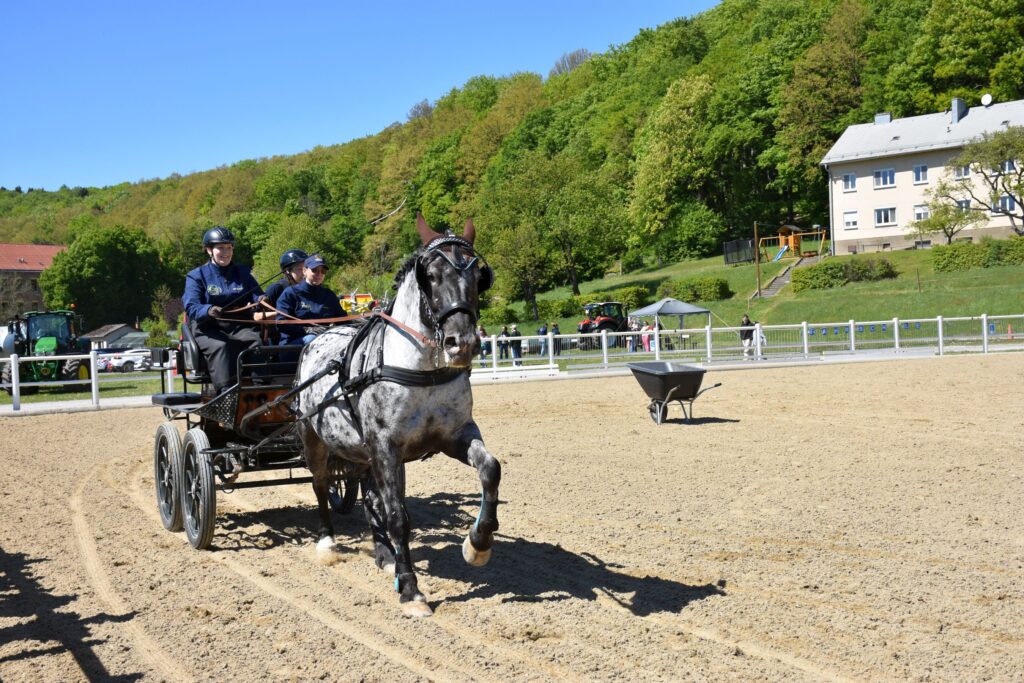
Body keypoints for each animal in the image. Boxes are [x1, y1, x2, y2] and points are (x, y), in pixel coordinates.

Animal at [294, 215, 501, 618]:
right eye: (431, 275)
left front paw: (477, 543)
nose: (462, 344)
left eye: (478, 276)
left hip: (363, 452)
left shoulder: (455, 435)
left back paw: (384, 553)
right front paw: (410, 588)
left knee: (370, 498)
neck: (420, 370)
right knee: (321, 484)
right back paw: (327, 541)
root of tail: (317, 336)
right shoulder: (386, 447)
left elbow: (490, 469)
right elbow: (398, 517)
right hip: (315, 438)